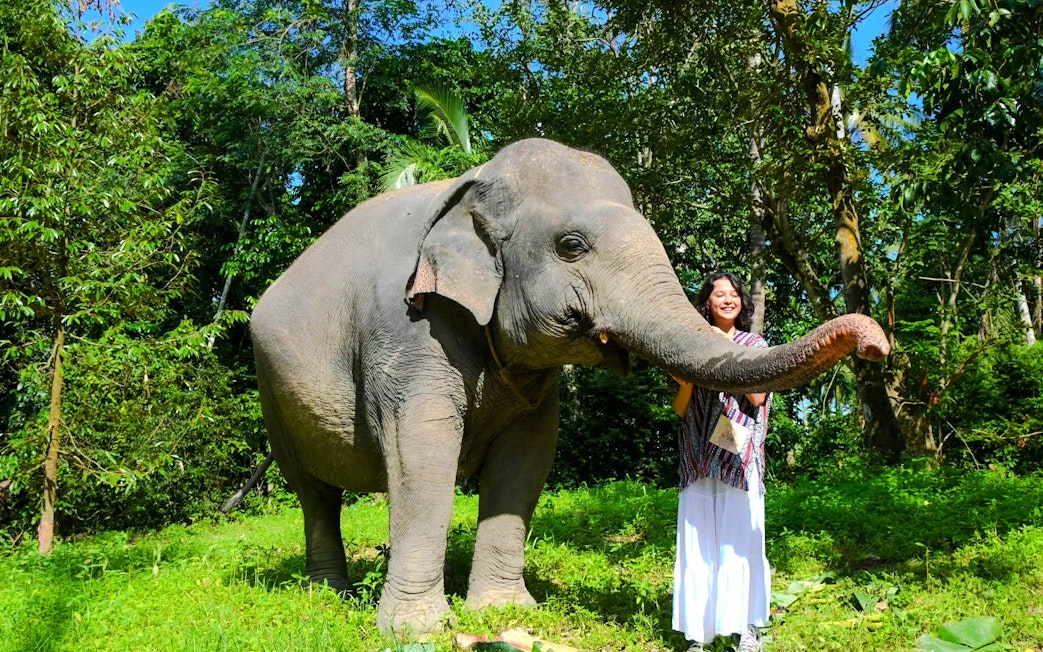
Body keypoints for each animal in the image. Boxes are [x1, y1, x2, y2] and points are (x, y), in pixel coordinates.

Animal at [248, 138, 889, 635]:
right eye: (572, 246)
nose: (876, 343)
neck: (470, 183)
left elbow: (527, 457)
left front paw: (504, 612)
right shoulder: (406, 327)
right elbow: (423, 449)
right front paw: (418, 631)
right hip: (270, 389)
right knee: (315, 493)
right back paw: (330, 594)